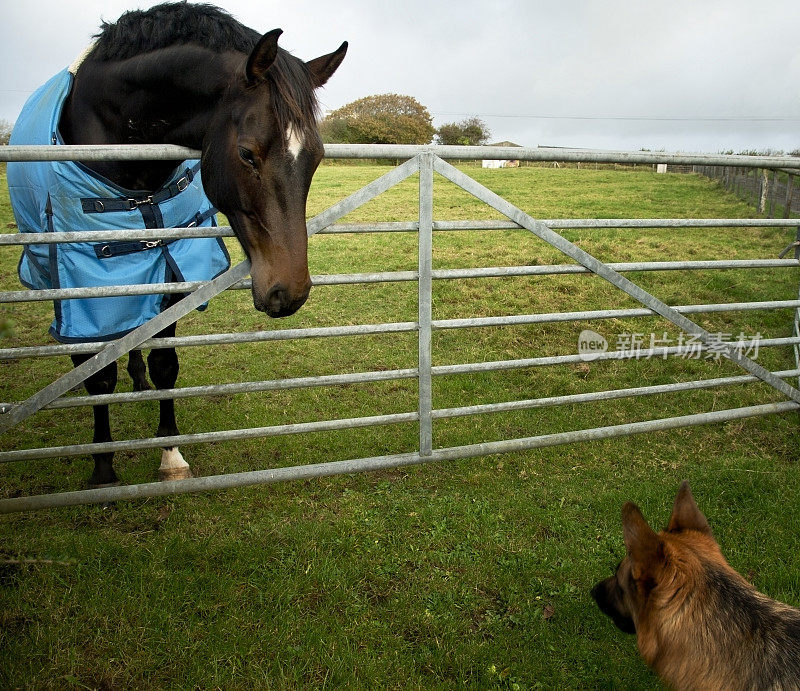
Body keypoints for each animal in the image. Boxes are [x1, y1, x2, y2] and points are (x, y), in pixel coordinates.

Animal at [6, 5, 346, 490]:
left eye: (316, 158)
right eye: (247, 154)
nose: (290, 292)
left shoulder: (168, 269)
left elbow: (165, 364)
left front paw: (170, 454)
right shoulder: (79, 284)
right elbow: (97, 377)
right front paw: (103, 468)